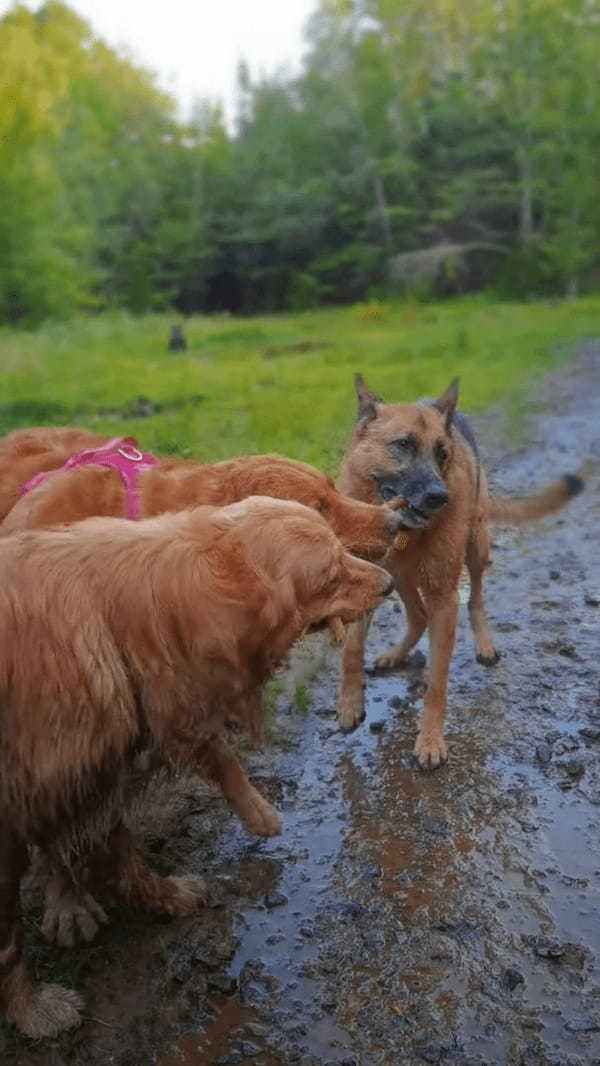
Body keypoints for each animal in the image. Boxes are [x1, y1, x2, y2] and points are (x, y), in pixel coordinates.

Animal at [341, 375, 584, 767]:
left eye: (442, 453)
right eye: (403, 445)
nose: (440, 498)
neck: (403, 529)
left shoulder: (445, 600)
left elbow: (437, 683)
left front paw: (430, 740)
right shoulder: (368, 580)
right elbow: (351, 648)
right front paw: (348, 704)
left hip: (476, 549)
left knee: (476, 599)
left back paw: (484, 643)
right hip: (404, 576)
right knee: (417, 615)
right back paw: (396, 653)